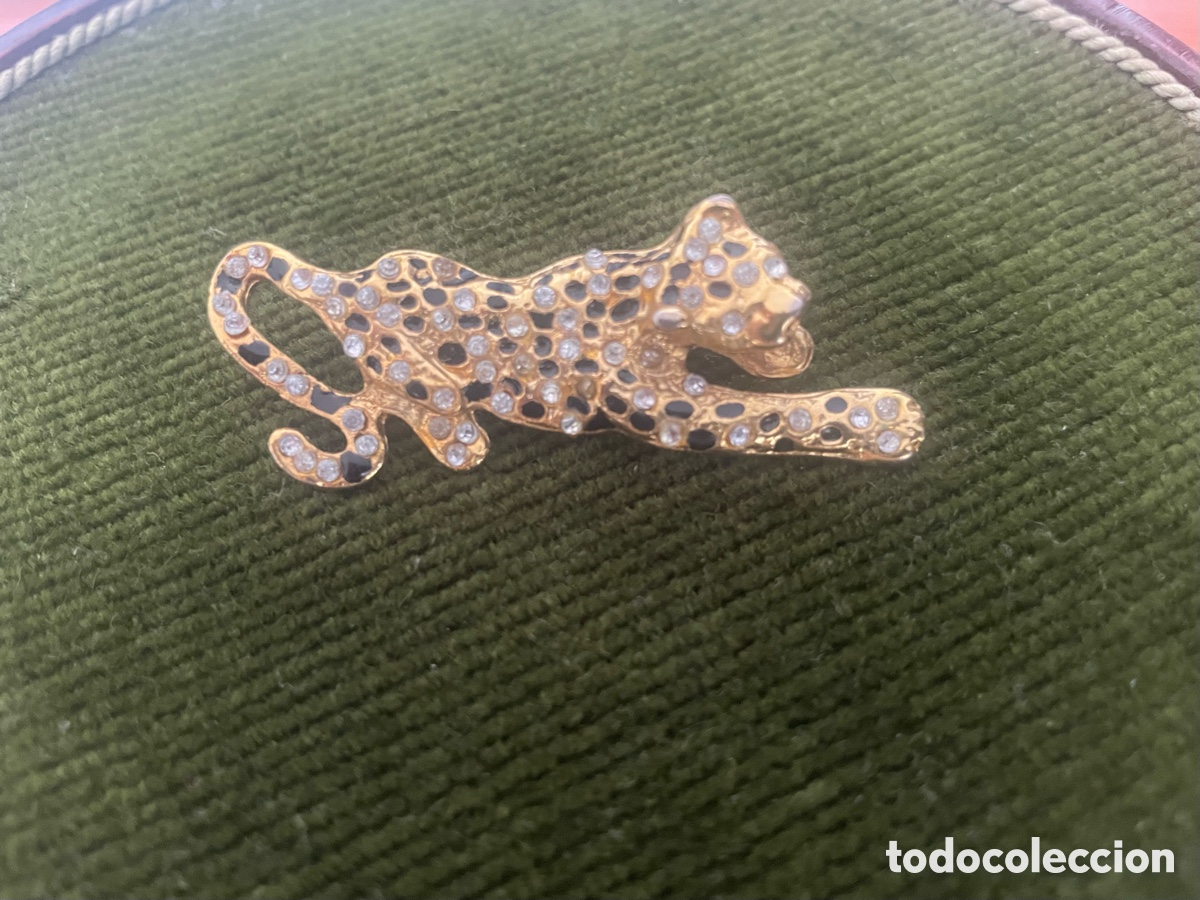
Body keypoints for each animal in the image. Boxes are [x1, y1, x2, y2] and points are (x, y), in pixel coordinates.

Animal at [207, 195, 923, 488]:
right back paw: (457, 440)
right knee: (416, 408)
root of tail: (342, 282)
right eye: (747, 307)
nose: (797, 298)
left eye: (772, 262)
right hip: (406, 366)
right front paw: (892, 418)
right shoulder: (663, 408)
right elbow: (773, 413)